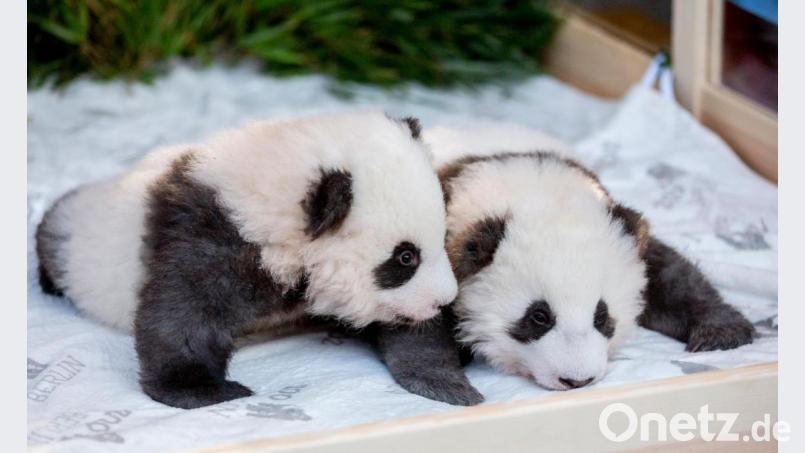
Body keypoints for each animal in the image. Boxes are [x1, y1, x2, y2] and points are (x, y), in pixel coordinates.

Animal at [35, 112, 459, 409]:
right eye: (405, 257)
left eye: (442, 236)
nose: (445, 300)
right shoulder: (212, 237)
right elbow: (181, 314)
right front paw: (202, 391)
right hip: (74, 236)